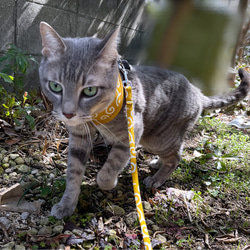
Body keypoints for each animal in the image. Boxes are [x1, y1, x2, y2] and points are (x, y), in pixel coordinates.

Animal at [39, 23, 250, 219]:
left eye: (90, 90)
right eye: (55, 86)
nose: (68, 114)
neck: (98, 115)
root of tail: (197, 91)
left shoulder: (131, 133)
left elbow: (109, 169)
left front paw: (110, 182)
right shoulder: (79, 136)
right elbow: (73, 173)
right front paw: (66, 204)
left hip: (157, 138)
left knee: (176, 156)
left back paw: (156, 178)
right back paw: (157, 163)